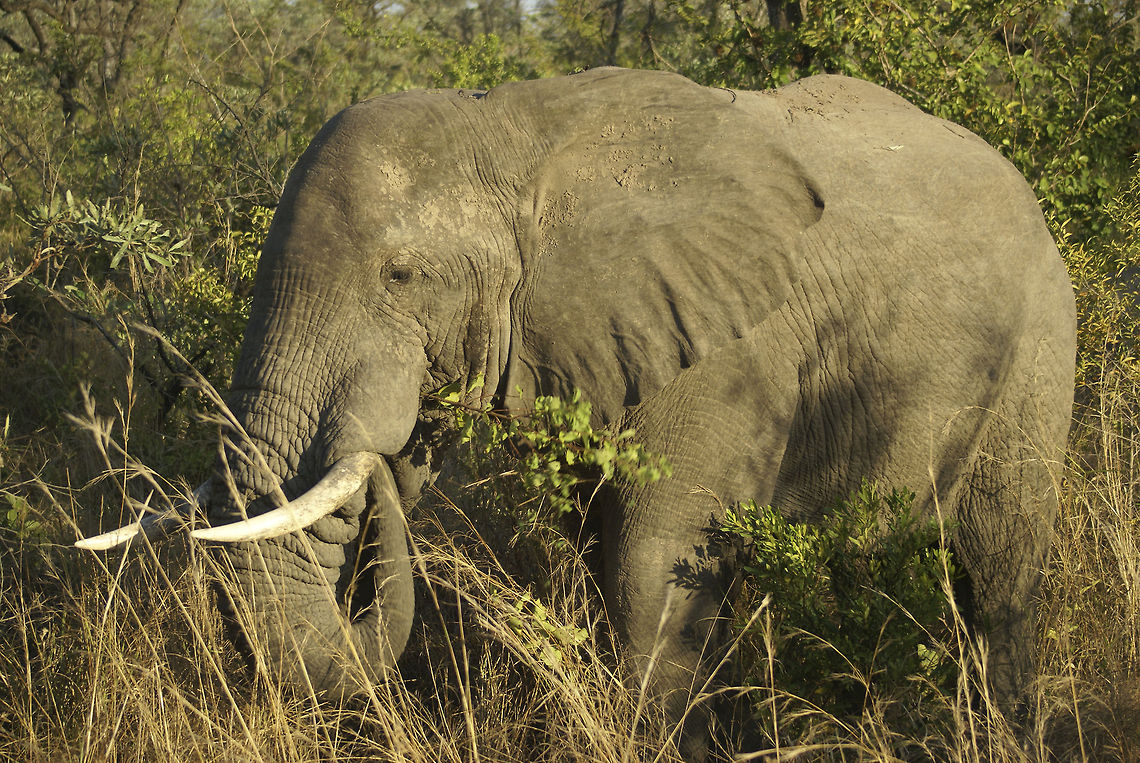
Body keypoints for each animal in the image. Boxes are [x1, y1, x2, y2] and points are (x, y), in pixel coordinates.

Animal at [79, 67, 1076, 756]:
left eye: (401, 276)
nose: (395, 455)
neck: (513, 135)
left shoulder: (723, 352)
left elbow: (651, 564)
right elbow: (600, 552)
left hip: (1037, 355)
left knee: (998, 572)